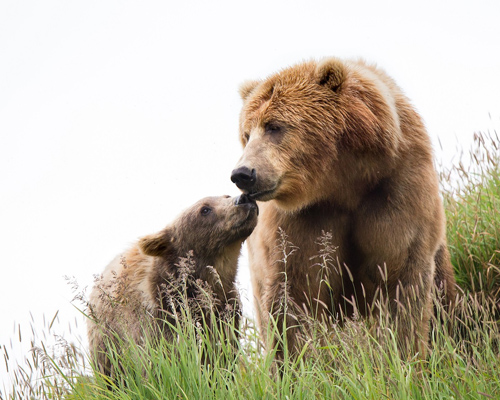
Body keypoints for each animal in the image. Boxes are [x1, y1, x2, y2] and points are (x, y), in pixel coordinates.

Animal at [87, 194, 258, 376]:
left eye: (225, 195)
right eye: (205, 209)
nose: (243, 198)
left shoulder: (226, 313)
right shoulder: (157, 321)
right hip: (107, 344)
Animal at [231, 57, 458, 358]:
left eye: (274, 126)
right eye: (246, 134)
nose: (243, 173)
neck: (342, 182)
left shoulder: (397, 190)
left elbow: (402, 281)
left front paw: (404, 353)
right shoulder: (301, 221)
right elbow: (292, 296)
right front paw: (294, 362)